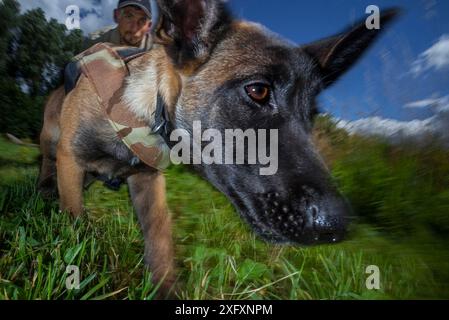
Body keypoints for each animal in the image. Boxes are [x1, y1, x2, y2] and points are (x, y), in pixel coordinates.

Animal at [37, 0, 396, 298]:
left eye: (312, 115)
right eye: (258, 90)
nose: (337, 226)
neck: (146, 111)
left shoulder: (148, 183)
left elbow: (160, 240)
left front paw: (165, 288)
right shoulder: (72, 160)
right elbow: (75, 218)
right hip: (52, 141)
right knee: (47, 165)